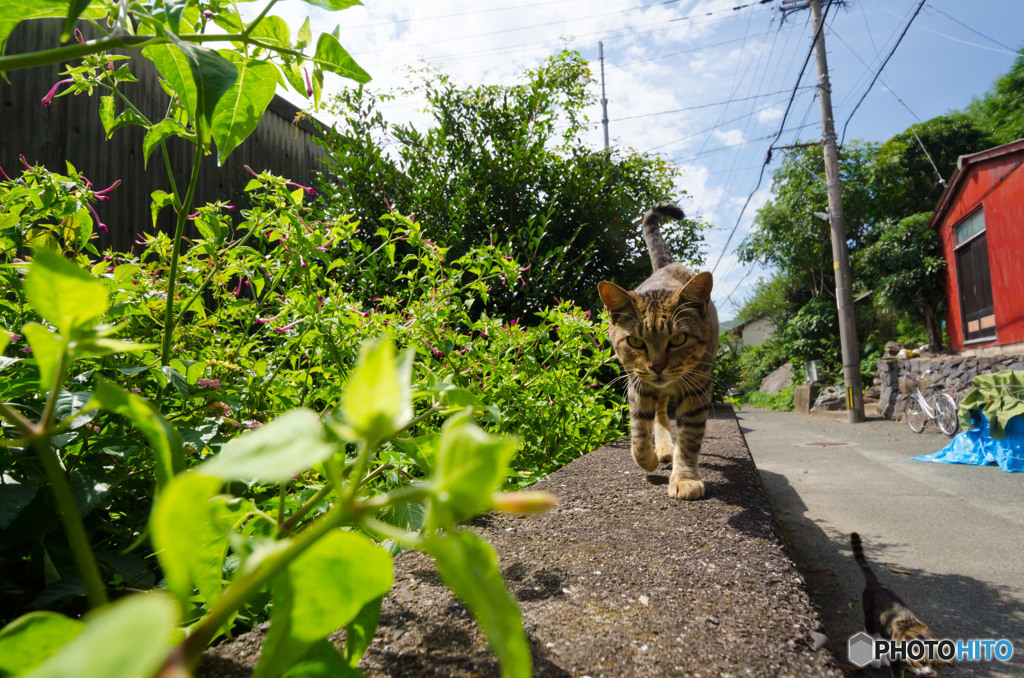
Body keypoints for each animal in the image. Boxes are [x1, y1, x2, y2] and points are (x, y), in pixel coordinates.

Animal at [598, 201, 716, 499]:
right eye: (635, 342)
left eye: (679, 339)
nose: (658, 366)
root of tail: (667, 264)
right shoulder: (638, 384)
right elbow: (639, 434)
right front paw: (650, 459)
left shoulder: (698, 389)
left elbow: (689, 439)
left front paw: (684, 478)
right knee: (660, 414)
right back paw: (662, 449)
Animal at [851, 532, 946, 675]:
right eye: (922, 661)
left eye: (935, 665)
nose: (929, 673)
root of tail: (877, 584)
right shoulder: (897, 661)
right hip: (870, 621)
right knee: (872, 637)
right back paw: (876, 661)